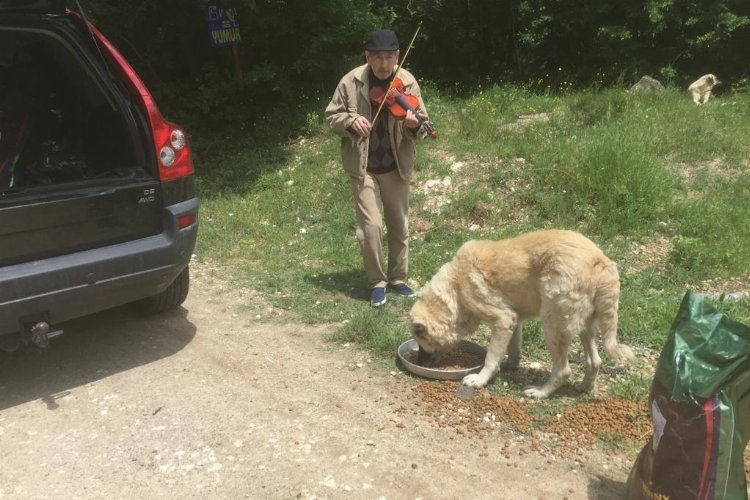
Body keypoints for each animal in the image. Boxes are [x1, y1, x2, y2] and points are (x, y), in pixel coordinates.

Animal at [412, 229, 636, 398]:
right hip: (582, 325)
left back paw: (540, 392)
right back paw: (584, 387)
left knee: (563, 370)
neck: (455, 288)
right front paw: (509, 365)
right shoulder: (513, 320)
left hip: (552, 324)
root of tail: (601, 261)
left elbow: (491, 358)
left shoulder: (503, 319)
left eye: (421, 343)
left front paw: (480, 379)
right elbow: (513, 348)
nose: (419, 363)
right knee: (594, 361)